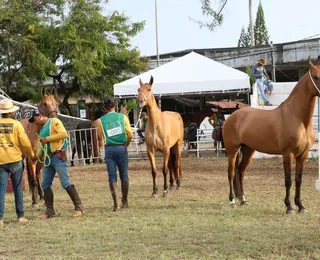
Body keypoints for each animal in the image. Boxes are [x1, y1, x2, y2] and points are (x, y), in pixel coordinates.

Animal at [222, 60, 320, 214]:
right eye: (316, 77)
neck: (297, 118)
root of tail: (232, 116)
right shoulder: (288, 154)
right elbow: (288, 180)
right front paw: (289, 207)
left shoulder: (303, 155)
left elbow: (298, 180)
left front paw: (301, 206)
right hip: (232, 150)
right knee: (231, 173)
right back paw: (232, 201)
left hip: (248, 150)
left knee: (240, 172)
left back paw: (243, 200)